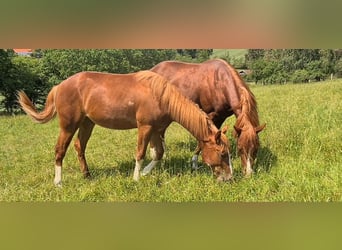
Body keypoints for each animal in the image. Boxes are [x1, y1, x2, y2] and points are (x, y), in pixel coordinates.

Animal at [18, 70, 232, 186]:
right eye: (222, 154)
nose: (229, 178)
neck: (161, 96)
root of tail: (59, 86)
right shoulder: (145, 127)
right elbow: (140, 153)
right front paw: (137, 178)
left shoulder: (155, 130)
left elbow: (158, 153)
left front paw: (145, 173)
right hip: (68, 125)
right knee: (60, 150)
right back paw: (58, 182)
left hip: (87, 123)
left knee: (80, 147)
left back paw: (87, 175)